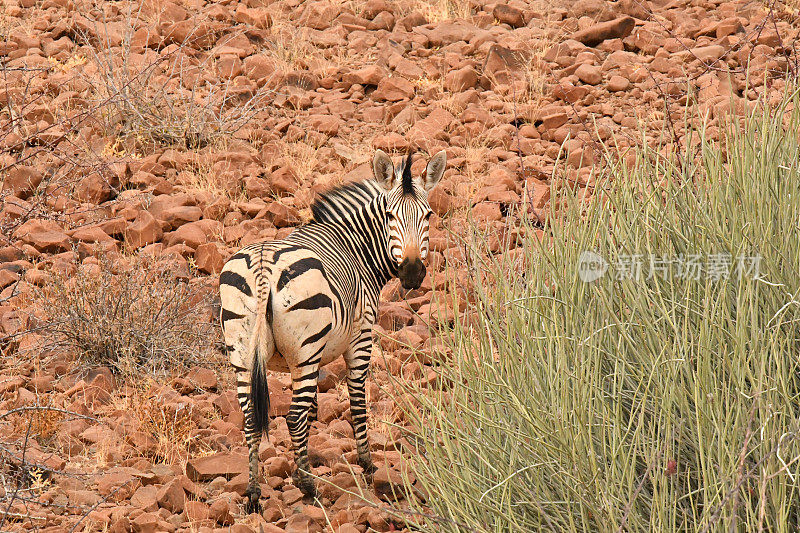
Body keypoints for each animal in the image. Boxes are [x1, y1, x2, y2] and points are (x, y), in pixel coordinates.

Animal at [217, 148, 444, 510]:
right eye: (390, 217)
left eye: (428, 215)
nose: (411, 273)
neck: (356, 248)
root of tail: (264, 264)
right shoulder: (360, 337)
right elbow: (356, 403)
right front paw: (366, 465)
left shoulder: (305, 360)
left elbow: (312, 411)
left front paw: (306, 462)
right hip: (305, 348)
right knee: (292, 417)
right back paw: (310, 488)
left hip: (242, 350)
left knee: (253, 418)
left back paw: (254, 494)